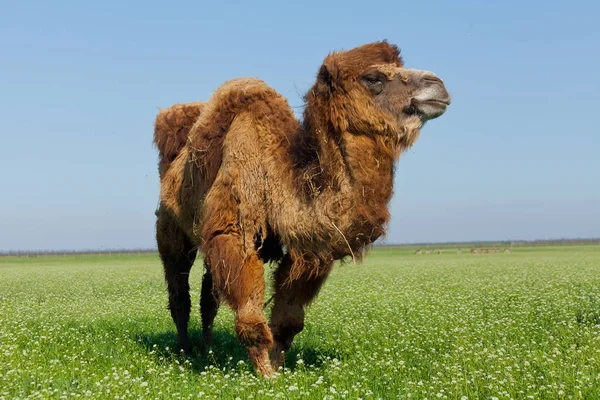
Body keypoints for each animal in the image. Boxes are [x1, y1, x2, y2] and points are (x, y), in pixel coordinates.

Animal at [154, 40, 450, 376]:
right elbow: (250, 314)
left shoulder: (309, 247)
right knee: (179, 292)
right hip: (170, 229)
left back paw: (209, 350)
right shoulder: (233, 226)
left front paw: (278, 366)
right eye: (373, 78)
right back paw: (185, 351)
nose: (438, 85)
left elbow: (289, 320)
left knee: (209, 295)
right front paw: (265, 374)